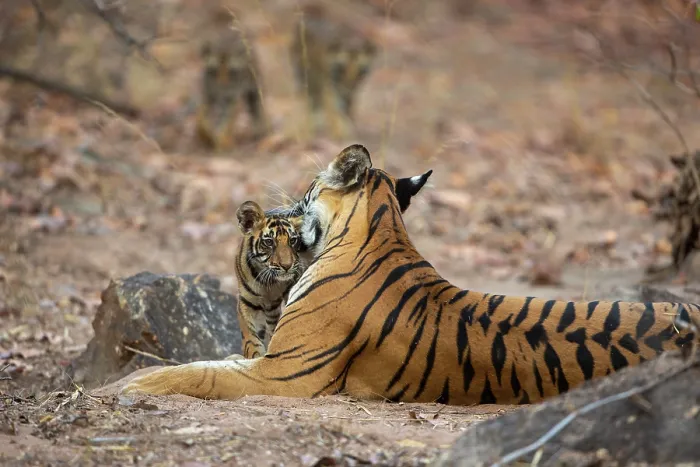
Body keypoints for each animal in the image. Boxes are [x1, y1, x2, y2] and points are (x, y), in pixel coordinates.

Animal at [229, 201, 311, 360]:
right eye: (269, 242)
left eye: (293, 240)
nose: (287, 266)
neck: (269, 283)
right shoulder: (248, 302)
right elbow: (251, 338)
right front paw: (255, 355)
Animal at [289, 3, 377, 140]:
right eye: (341, 69)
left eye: (360, 72)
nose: (347, 89)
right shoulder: (329, 84)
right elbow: (332, 107)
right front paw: (340, 130)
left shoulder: (352, 91)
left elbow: (348, 106)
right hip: (306, 74)